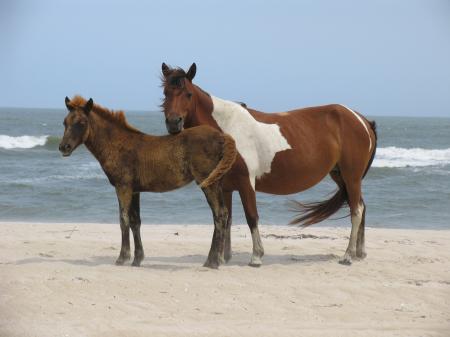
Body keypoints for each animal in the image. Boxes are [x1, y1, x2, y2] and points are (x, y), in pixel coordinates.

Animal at [160, 62, 378, 266]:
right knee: (362, 207)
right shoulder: (226, 186)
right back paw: (360, 253)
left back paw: (347, 256)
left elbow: (251, 217)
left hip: (351, 177)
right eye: (166, 93)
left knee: (356, 211)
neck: (227, 129)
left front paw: (256, 257)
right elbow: (226, 219)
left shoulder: (246, 183)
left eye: (188, 94)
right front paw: (222, 258)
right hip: (340, 176)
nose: (173, 123)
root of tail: (362, 120)